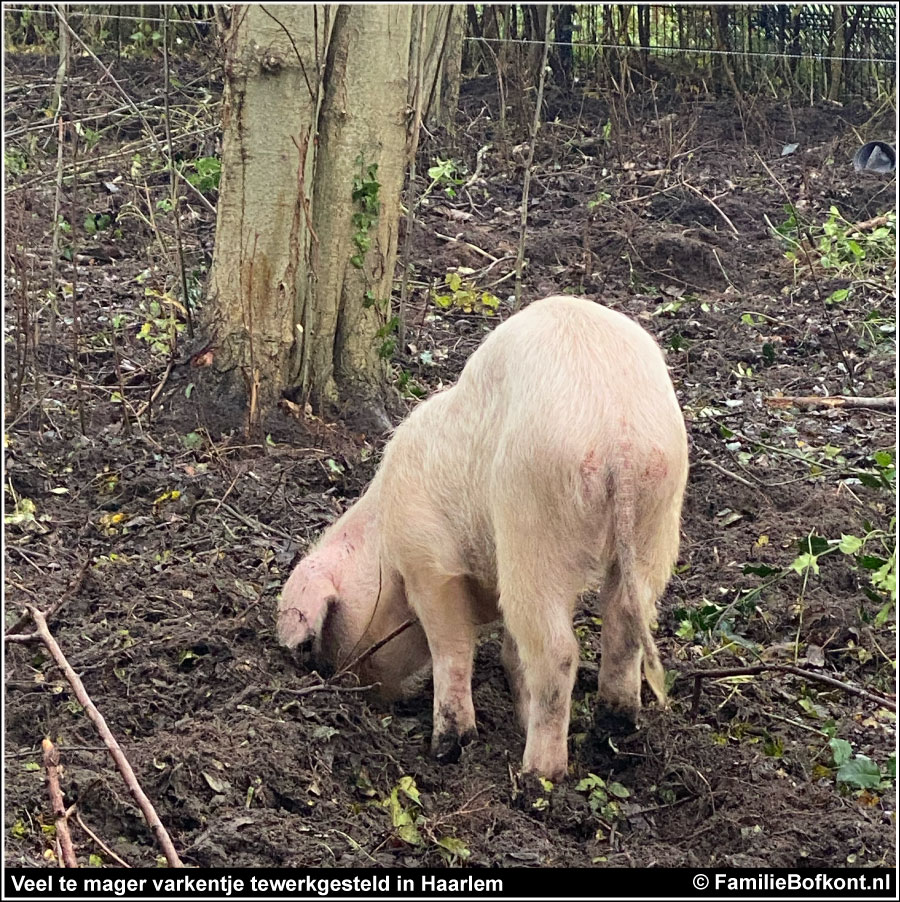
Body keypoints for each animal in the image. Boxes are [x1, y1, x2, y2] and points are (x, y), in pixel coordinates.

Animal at [278, 298, 684, 784]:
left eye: (329, 630)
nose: (366, 694)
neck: (385, 545)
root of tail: (618, 437)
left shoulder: (430, 564)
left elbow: (451, 646)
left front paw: (448, 748)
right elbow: (511, 649)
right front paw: (517, 717)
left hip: (535, 522)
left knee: (558, 652)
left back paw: (537, 777)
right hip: (656, 518)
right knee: (624, 623)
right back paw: (612, 737)